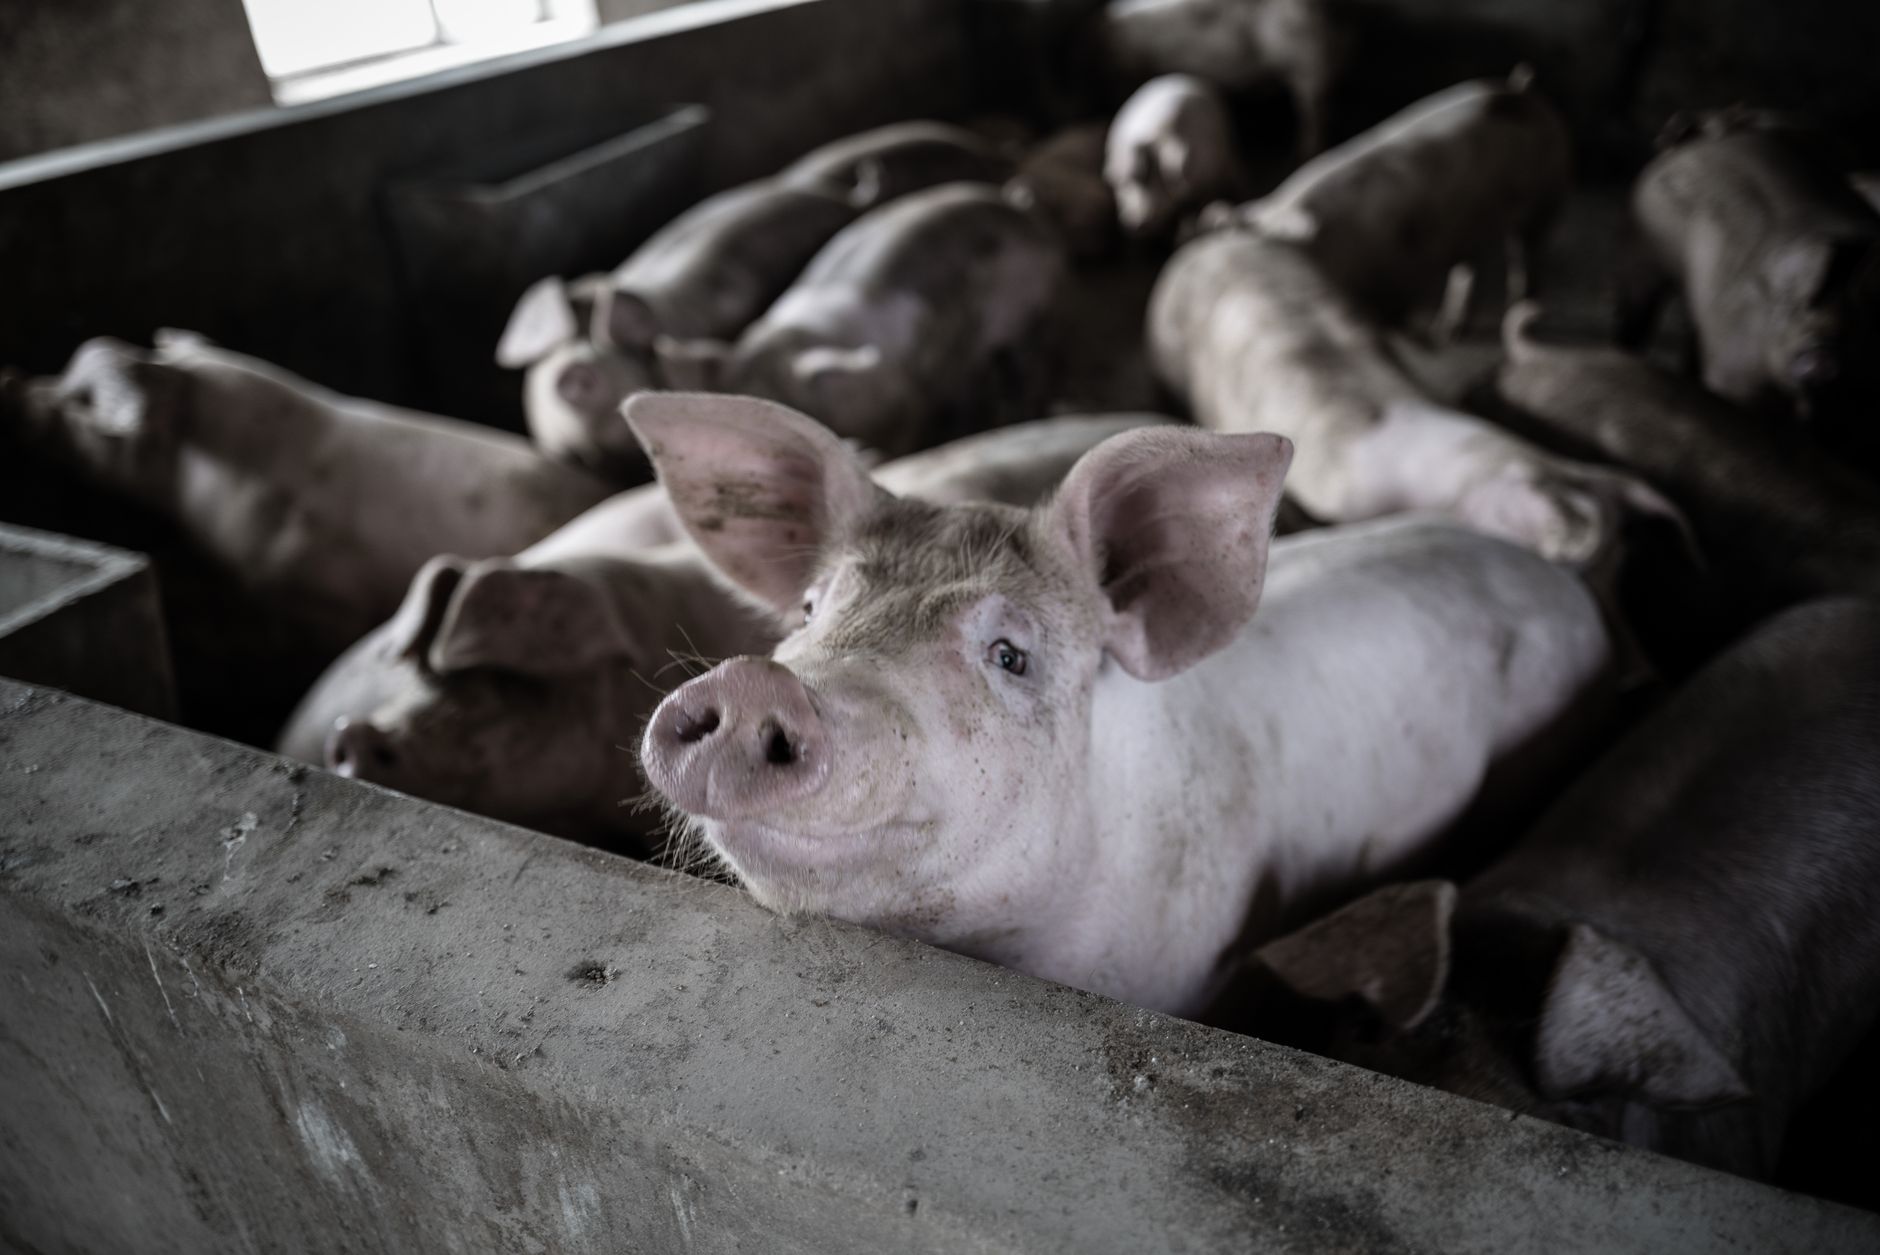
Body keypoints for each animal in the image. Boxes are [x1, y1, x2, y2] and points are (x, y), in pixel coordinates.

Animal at [1234, 69, 1571, 334]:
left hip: (1549, 193)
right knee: (1469, 266)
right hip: (1474, 222)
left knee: (1526, 253)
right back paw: (1448, 330)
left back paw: (1521, 309)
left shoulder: (1400, 277)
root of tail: (1521, 87)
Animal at [1621, 111, 1880, 427]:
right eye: (1791, 307)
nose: (1820, 355)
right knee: (1635, 317)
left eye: (1861, 319)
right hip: (1638, 253)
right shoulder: (1737, 379)